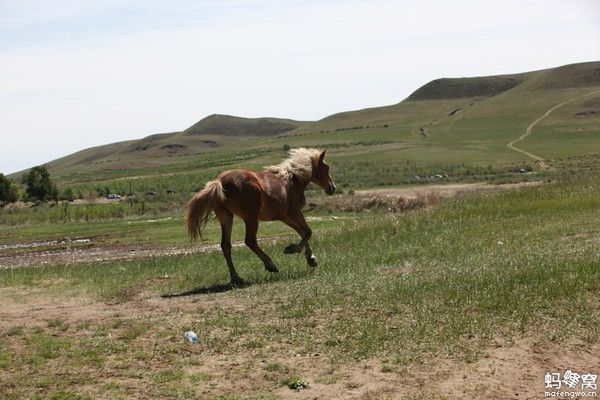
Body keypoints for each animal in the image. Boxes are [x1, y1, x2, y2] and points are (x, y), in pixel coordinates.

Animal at [186, 148, 338, 286]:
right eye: (326, 167)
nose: (332, 188)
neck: (292, 181)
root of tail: (219, 182)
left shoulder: (285, 217)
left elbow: (302, 231)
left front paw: (311, 259)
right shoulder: (294, 213)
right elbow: (307, 231)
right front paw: (292, 249)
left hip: (226, 217)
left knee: (226, 245)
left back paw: (237, 278)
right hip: (251, 218)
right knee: (250, 241)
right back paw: (270, 265)